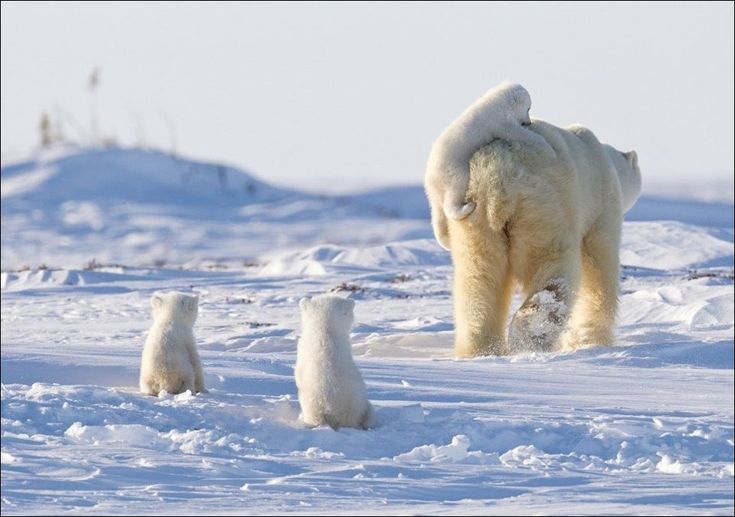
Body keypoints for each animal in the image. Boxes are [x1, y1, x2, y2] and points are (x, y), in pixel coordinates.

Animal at [426, 81, 556, 250]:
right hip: (453, 168)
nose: (528, 122)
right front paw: (547, 146)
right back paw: (467, 207)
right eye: (528, 107)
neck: (498, 104)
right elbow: (517, 133)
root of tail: (430, 181)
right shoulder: (500, 122)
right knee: (454, 193)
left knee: (438, 213)